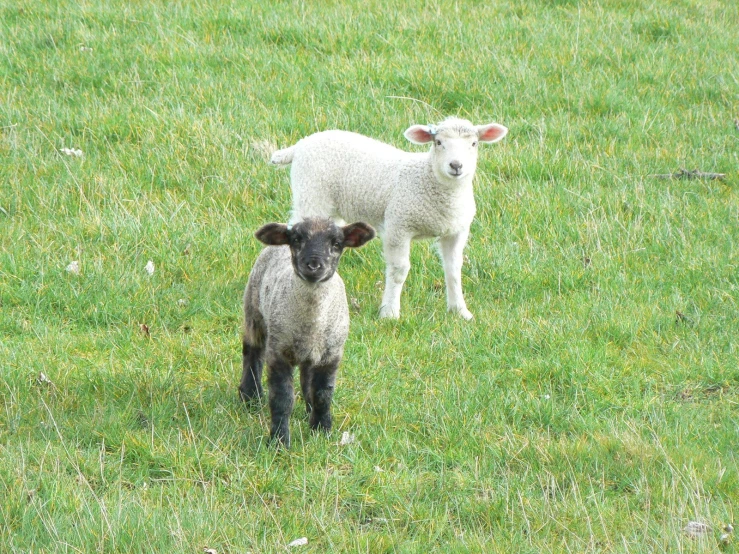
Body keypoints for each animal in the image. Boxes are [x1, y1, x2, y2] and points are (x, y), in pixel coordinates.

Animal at [241, 216, 376, 444]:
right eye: (296, 239)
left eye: (337, 243)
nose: (313, 265)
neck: (311, 324)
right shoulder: (278, 354)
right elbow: (282, 399)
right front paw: (279, 441)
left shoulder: (330, 356)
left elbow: (322, 394)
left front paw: (321, 430)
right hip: (253, 310)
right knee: (252, 352)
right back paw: (250, 395)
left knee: (306, 377)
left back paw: (308, 410)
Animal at [272, 116, 508, 320]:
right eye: (438, 142)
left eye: (474, 143)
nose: (456, 165)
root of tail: (303, 143)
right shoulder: (398, 225)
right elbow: (398, 271)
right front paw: (390, 312)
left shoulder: (456, 231)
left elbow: (453, 270)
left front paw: (459, 311)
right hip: (311, 195)